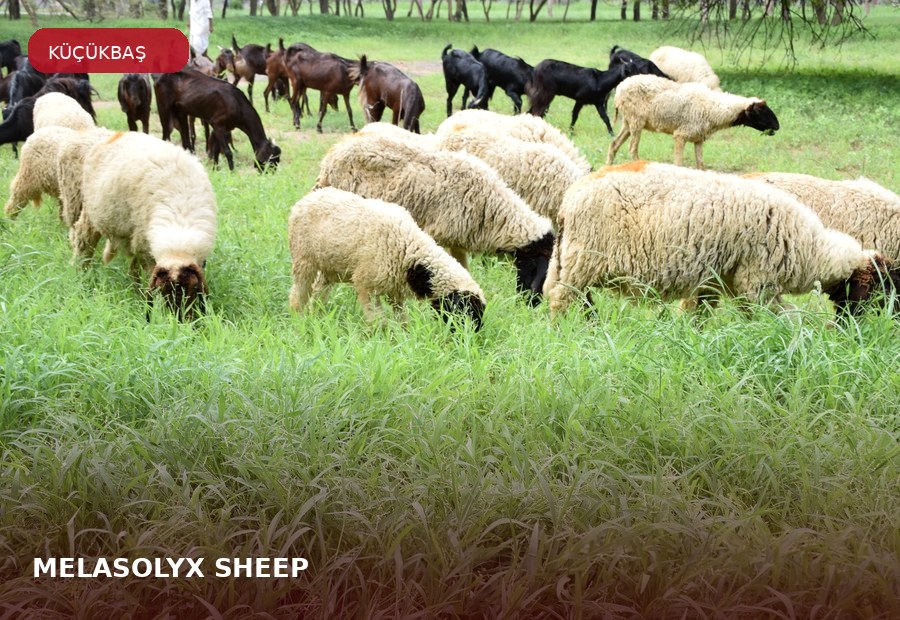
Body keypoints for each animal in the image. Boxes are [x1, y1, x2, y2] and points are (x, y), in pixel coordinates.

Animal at [69, 131, 217, 320]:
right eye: (163, 292)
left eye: (193, 289)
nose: (179, 322)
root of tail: (117, 134)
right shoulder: (144, 247)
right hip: (91, 211)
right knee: (84, 242)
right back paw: (81, 273)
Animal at [289, 187, 486, 330]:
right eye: (465, 310)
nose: (471, 337)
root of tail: (307, 198)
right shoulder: (365, 284)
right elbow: (377, 319)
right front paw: (381, 337)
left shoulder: (395, 291)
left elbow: (401, 318)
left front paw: (404, 336)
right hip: (303, 259)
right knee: (298, 293)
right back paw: (298, 318)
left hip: (330, 267)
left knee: (319, 290)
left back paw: (318, 314)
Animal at [316, 131, 555, 304]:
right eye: (538, 263)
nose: (532, 303)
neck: (492, 209)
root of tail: (332, 155)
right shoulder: (435, 235)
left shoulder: (457, 240)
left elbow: (461, 267)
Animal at [607, 75, 779, 169]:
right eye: (759, 111)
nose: (777, 126)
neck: (713, 108)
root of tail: (620, 88)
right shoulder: (680, 135)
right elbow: (678, 164)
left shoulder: (698, 138)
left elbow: (701, 165)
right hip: (636, 121)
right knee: (632, 149)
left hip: (628, 122)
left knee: (614, 144)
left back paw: (607, 168)